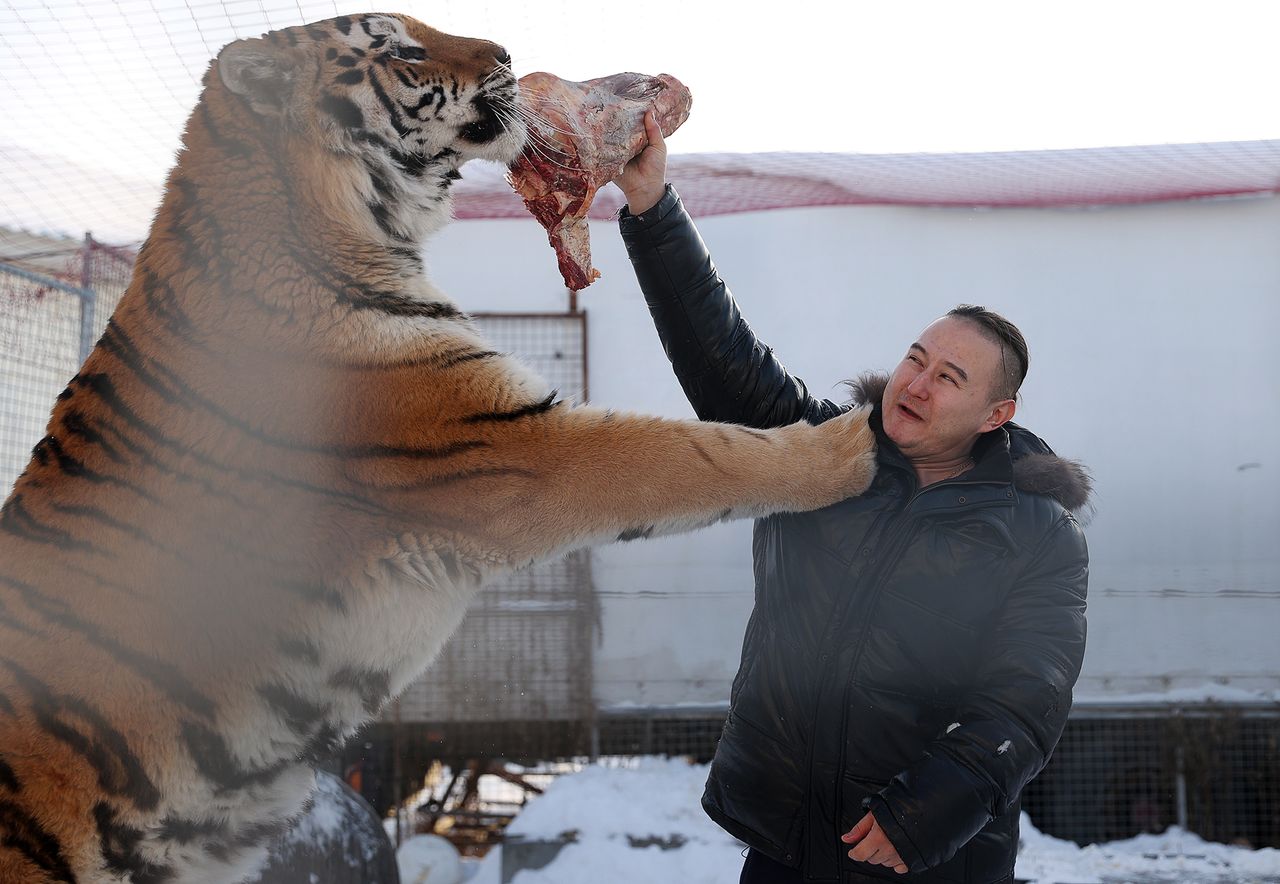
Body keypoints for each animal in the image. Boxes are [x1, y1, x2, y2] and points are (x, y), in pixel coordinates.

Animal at [0, 13, 875, 884]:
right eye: (402, 49)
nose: (510, 55)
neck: (342, 222)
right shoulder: (517, 447)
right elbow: (700, 454)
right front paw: (853, 442)